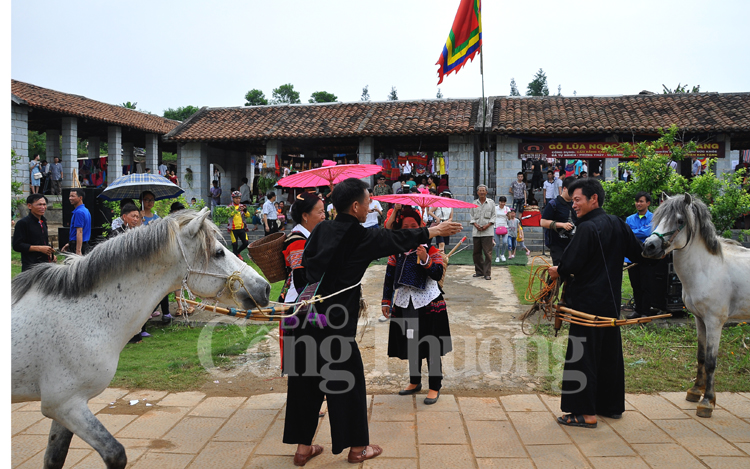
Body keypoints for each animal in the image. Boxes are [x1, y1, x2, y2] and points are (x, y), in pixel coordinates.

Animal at [11, 209, 270, 468]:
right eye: (218, 252)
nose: (265, 287)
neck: (82, 314)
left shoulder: (67, 404)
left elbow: (54, 458)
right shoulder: (65, 404)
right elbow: (115, 454)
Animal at [640, 194, 750, 416]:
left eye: (680, 220)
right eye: (658, 217)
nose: (649, 246)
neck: (707, 268)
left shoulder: (715, 322)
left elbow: (711, 362)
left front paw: (707, 401)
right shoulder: (700, 319)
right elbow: (700, 356)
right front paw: (695, 391)